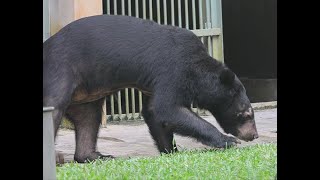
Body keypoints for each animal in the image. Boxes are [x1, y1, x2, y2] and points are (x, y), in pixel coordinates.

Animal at [43, 14, 258, 162]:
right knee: (54, 108)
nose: (253, 135)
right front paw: (228, 140)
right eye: (247, 114)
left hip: (86, 93)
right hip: (62, 70)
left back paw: (95, 156)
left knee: (89, 118)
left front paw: (171, 150)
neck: (196, 68)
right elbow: (167, 108)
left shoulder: (152, 84)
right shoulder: (172, 70)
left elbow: (154, 111)